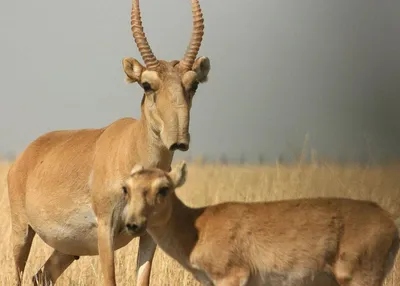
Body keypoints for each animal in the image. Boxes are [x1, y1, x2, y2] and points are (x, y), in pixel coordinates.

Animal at [7, 1, 211, 284]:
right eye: (146, 85)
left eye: (193, 85)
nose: (178, 139)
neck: (130, 146)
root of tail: (24, 158)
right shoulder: (106, 230)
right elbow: (109, 279)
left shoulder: (149, 234)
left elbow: (143, 278)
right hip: (22, 233)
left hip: (66, 250)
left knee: (41, 276)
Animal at [121, 162, 400, 284]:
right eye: (126, 188)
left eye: (163, 189)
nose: (132, 224)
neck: (195, 228)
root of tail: (390, 221)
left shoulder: (232, 276)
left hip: (359, 278)